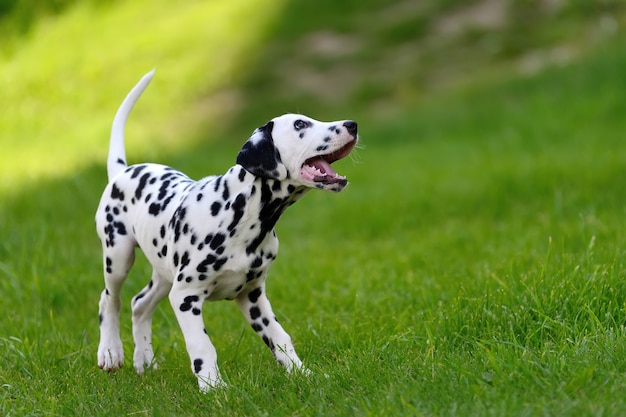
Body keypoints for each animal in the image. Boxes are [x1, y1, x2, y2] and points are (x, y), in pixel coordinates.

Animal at [92, 69, 356, 390]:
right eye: (300, 124)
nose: (352, 124)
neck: (243, 217)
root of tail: (122, 171)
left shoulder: (253, 296)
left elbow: (280, 338)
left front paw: (301, 374)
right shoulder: (186, 297)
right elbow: (202, 345)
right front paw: (213, 387)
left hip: (164, 274)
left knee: (139, 304)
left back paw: (145, 361)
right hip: (118, 257)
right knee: (110, 300)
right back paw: (110, 352)